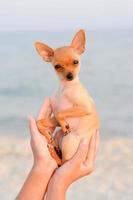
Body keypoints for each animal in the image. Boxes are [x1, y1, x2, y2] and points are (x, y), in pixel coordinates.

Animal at [34, 29, 99, 164]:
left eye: (76, 62)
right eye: (57, 66)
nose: (70, 76)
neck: (65, 88)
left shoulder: (84, 108)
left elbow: (61, 113)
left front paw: (65, 126)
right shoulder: (55, 119)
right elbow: (39, 122)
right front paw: (47, 135)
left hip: (69, 140)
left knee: (63, 162)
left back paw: (53, 152)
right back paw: (54, 149)